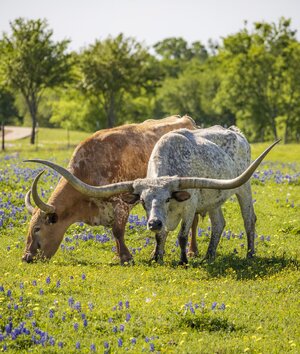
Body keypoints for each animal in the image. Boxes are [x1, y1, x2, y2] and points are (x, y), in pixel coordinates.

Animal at [21, 116, 197, 262]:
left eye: (37, 228)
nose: (26, 257)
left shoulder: (121, 204)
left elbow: (117, 231)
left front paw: (126, 257)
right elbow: (115, 234)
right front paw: (119, 256)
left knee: (194, 222)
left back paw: (192, 251)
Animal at [27, 126, 280, 264]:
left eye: (168, 198)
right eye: (143, 201)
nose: (154, 222)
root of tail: (235, 131)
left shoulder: (189, 206)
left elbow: (181, 235)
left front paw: (183, 260)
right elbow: (160, 237)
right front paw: (156, 256)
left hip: (243, 189)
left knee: (249, 220)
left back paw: (249, 253)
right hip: (214, 198)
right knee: (219, 223)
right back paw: (209, 255)